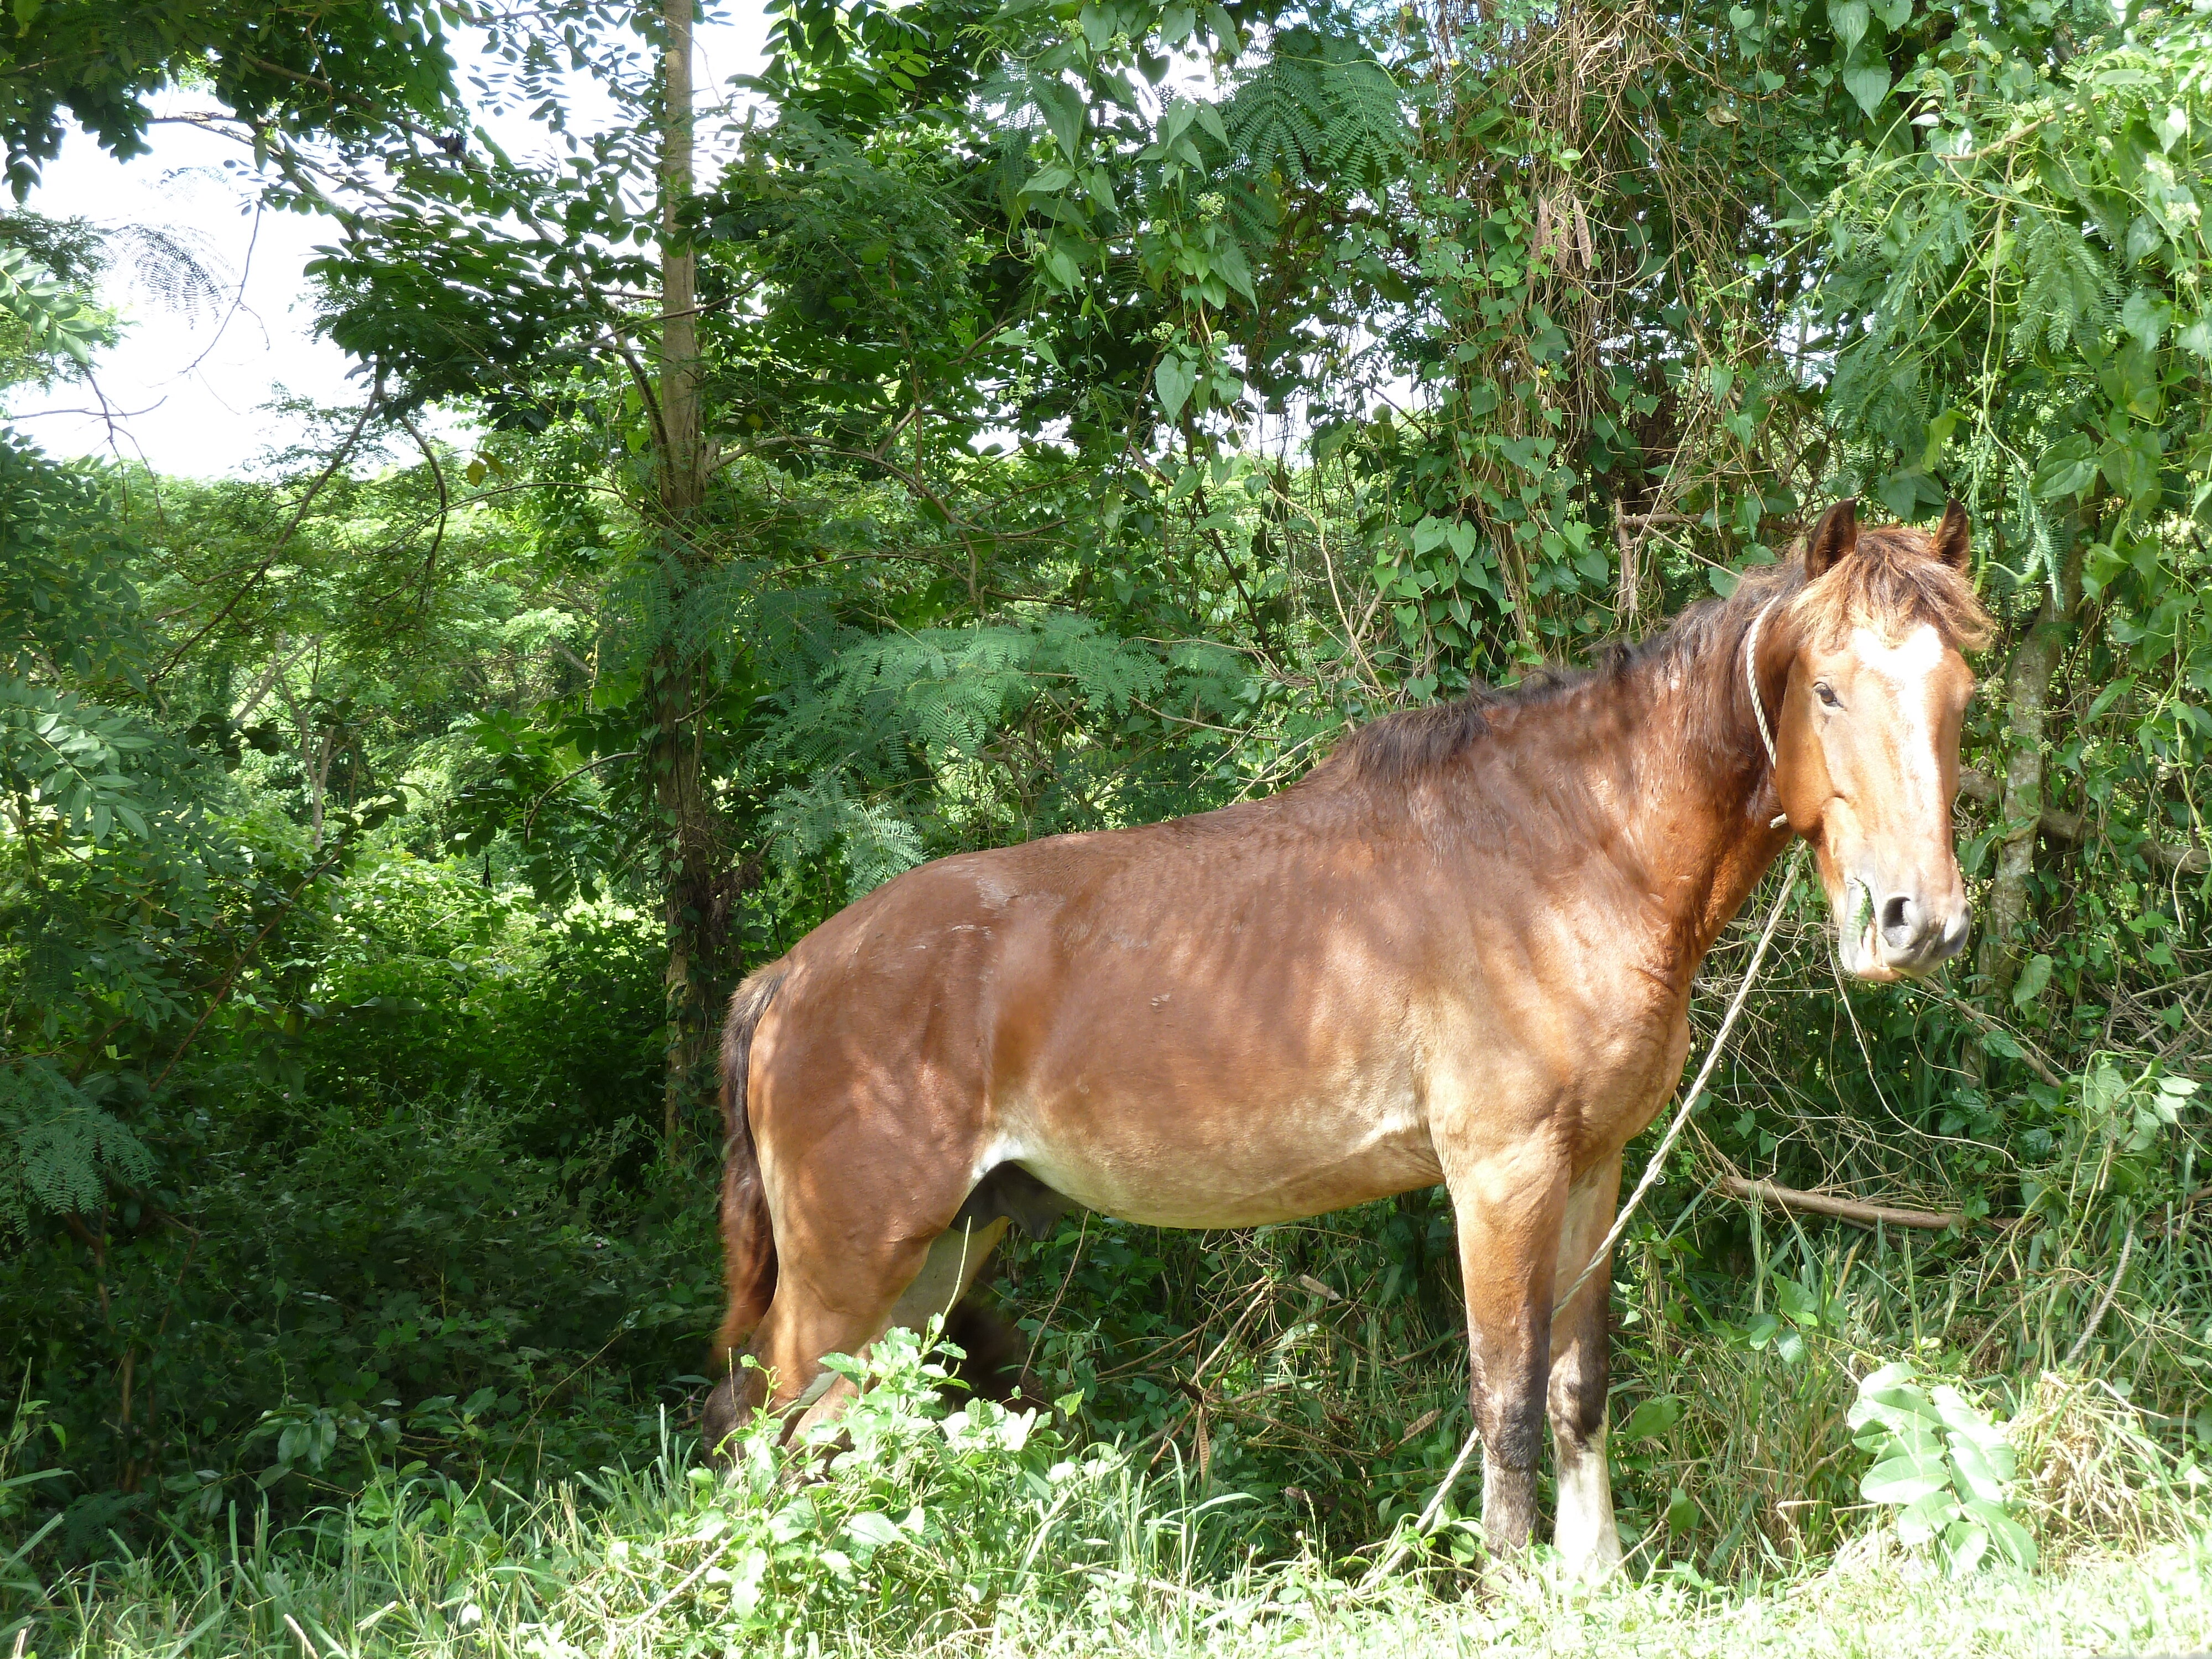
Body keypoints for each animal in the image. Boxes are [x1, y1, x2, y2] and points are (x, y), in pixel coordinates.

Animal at [699, 504, 2000, 1584]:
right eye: (1826, 690)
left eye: (1960, 695)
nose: (1916, 922)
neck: (1567, 853)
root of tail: (786, 979)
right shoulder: (1499, 1176)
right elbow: (1504, 1396)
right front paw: (1512, 1589)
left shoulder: (1592, 1167)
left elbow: (1576, 1387)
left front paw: (1596, 1582)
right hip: (850, 1270)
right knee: (767, 1432)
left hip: (937, 1258)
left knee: (834, 1433)